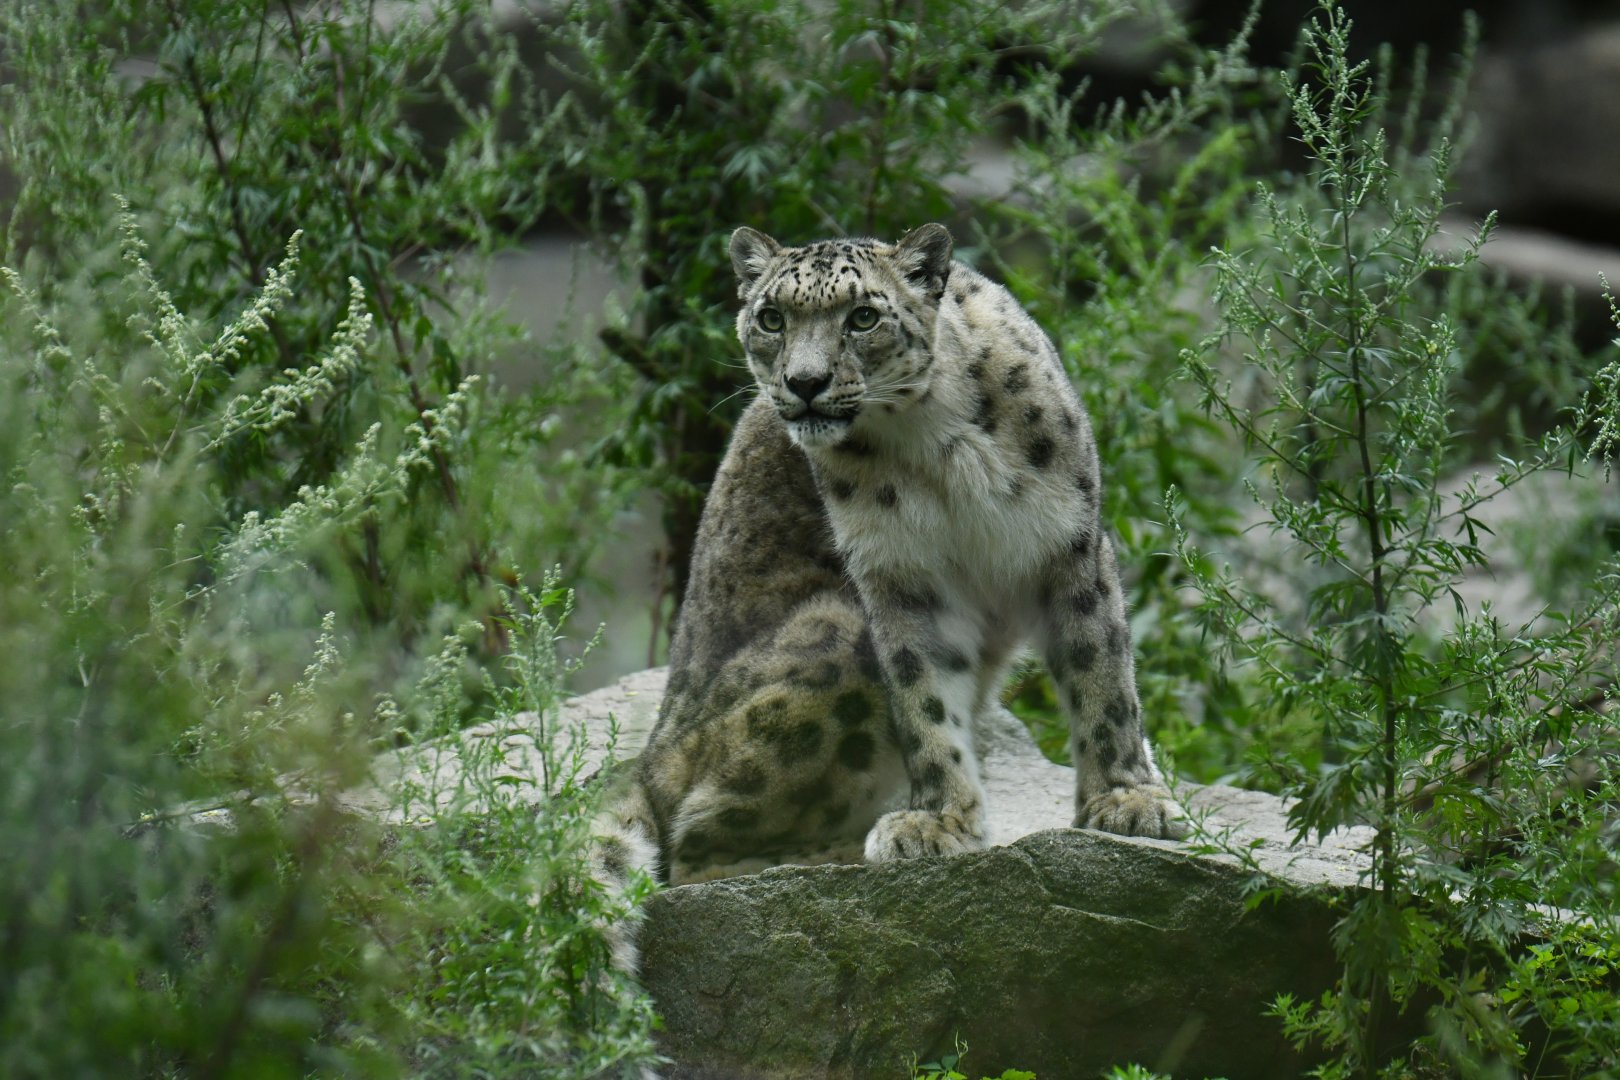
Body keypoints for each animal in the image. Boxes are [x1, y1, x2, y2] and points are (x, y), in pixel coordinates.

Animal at [591, 223, 1184, 970]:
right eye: (771, 317)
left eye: (863, 317)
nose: (805, 383)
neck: (933, 439)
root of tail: (652, 751)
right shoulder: (899, 578)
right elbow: (925, 699)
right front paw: (938, 823)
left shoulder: (1069, 542)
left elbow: (1103, 678)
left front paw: (1127, 800)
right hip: (837, 637)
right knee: (695, 852)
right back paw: (838, 854)